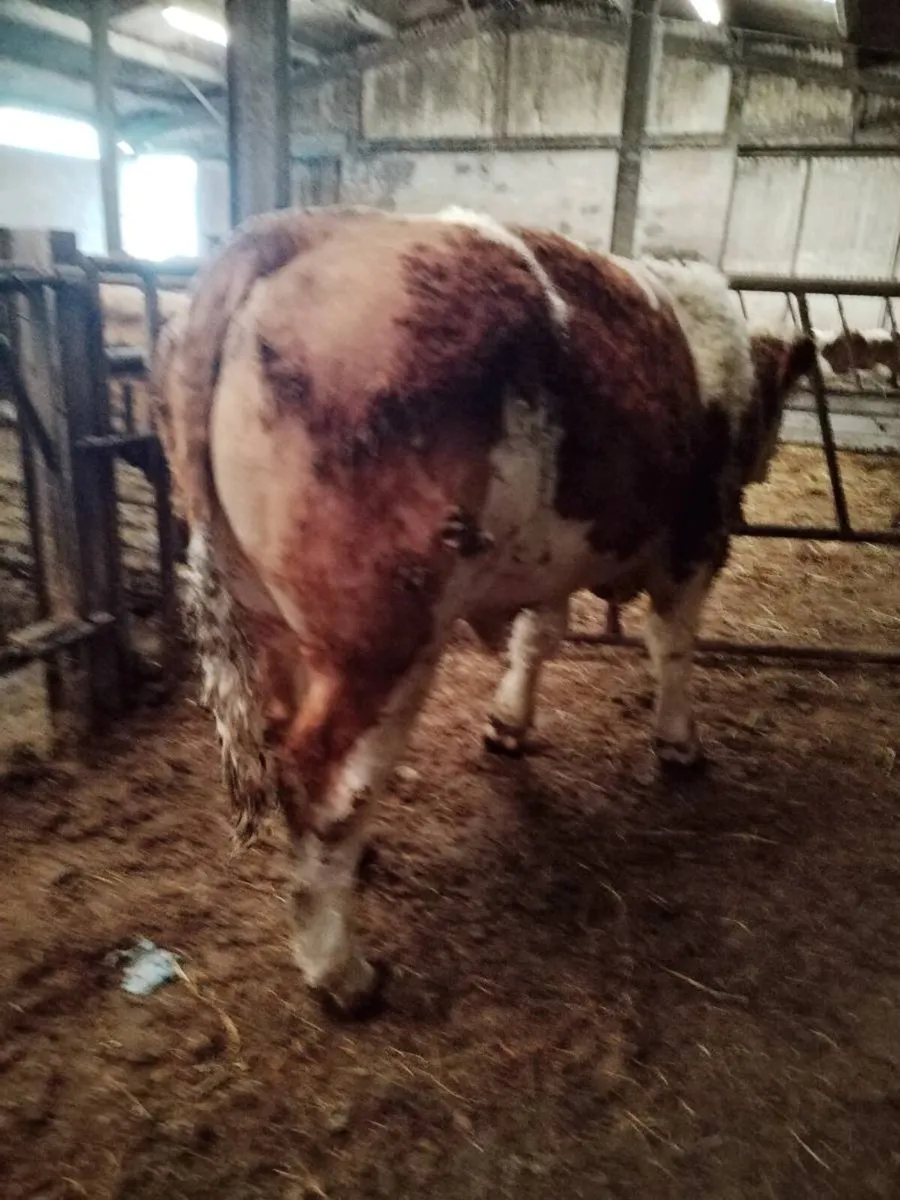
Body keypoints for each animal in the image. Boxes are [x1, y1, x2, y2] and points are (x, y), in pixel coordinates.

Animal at [153, 205, 815, 1017]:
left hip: (274, 614)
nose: (769, 460)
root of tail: (291, 231)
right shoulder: (698, 533)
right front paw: (679, 744)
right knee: (323, 778)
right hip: (386, 636)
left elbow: (539, 635)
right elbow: (674, 643)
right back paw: (340, 969)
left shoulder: (554, 555)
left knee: (290, 744)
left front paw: (509, 725)